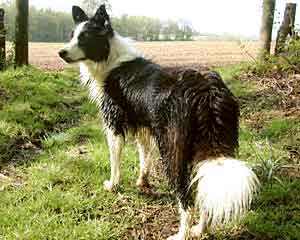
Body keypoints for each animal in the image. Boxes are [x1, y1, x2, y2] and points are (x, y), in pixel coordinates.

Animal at [58, 4, 258, 239]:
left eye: (85, 37)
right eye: (72, 35)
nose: (61, 53)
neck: (109, 58)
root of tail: (206, 92)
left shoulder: (114, 125)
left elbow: (115, 161)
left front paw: (112, 185)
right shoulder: (145, 127)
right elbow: (144, 157)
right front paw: (142, 182)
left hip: (172, 149)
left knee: (186, 197)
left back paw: (182, 233)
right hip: (205, 148)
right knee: (203, 187)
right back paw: (200, 229)